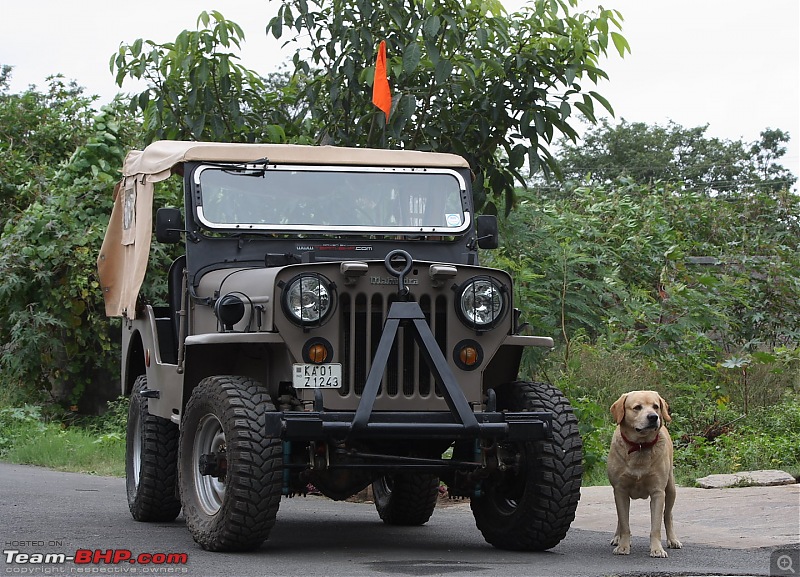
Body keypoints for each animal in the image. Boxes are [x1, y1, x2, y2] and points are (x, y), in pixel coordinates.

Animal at [608, 390, 680, 556]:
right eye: (637, 407)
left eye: (656, 406)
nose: (653, 417)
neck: (640, 446)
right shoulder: (620, 490)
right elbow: (624, 523)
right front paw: (623, 546)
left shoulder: (658, 492)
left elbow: (656, 526)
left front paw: (657, 549)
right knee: (620, 519)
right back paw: (617, 537)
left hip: (671, 488)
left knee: (668, 515)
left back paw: (673, 539)